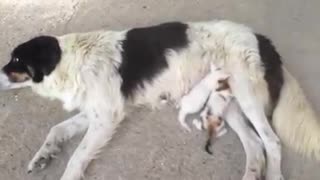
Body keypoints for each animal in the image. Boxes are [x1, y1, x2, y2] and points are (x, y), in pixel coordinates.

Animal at [0, 20, 320, 180]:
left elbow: (77, 156)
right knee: (254, 144)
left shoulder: (107, 116)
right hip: (227, 100)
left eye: (16, 60)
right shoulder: (96, 111)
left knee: (271, 141)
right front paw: (43, 155)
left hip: (245, 93)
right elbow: (57, 129)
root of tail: (261, 38)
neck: (69, 62)